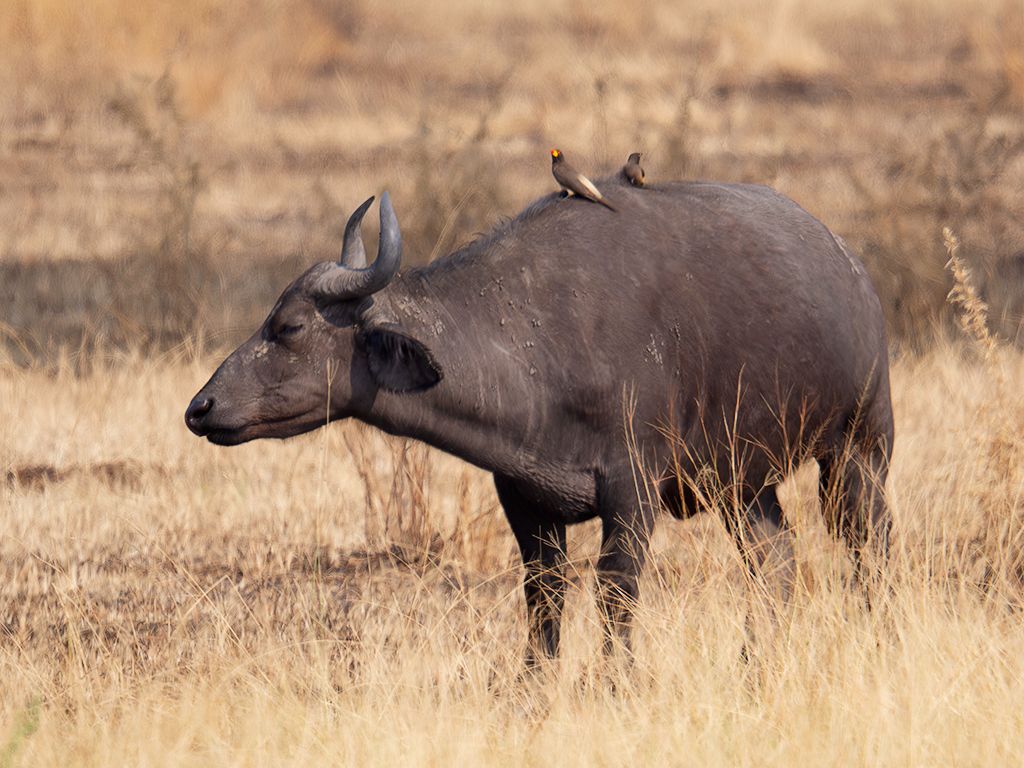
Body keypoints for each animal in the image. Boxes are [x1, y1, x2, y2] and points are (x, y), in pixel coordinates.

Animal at [186, 177, 893, 665]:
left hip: (858, 453)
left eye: (289, 327)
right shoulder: (525, 501)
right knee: (777, 560)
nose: (201, 408)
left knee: (869, 545)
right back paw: (755, 663)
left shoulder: (632, 495)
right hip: (742, 486)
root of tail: (853, 270)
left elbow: (615, 596)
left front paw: (615, 685)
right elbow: (543, 602)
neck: (540, 337)